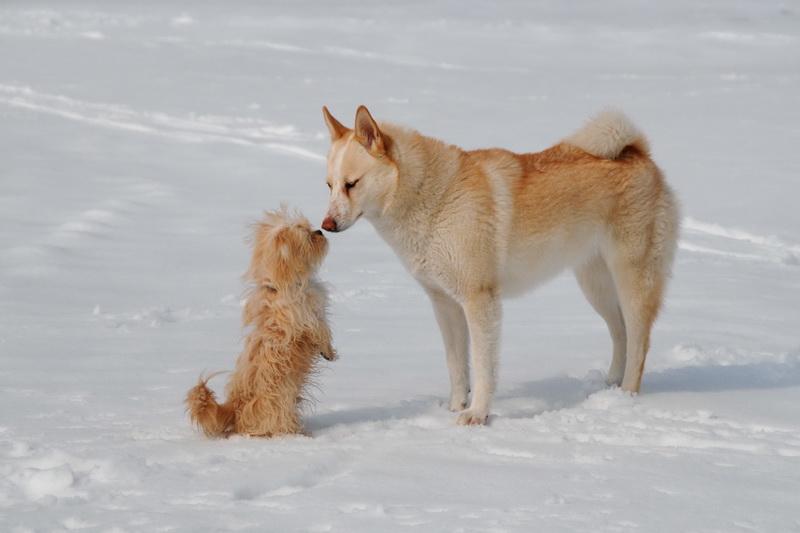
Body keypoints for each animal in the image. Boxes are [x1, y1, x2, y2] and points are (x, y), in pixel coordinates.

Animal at [186, 207, 336, 436]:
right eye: (306, 235)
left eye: (310, 228)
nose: (319, 231)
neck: (283, 284)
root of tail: (235, 409)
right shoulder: (303, 320)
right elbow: (320, 330)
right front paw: (327, 350)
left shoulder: (315, 313)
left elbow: (325, 330)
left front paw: (329, 352)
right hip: (278, 407)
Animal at [322, 106, 680, 426]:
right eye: (329, 185)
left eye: (352, 183)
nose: (325, 225)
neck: (433, 197)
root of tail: (638, 152)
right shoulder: (444, 304)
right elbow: (456, 365)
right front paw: (454, 408)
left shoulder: (480, 300)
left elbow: (483, 367)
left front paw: (477, 415)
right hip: (595, 285)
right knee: (619, 332)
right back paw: (610, 388)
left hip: (632, 279)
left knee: (639, 341)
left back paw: (627, 397)